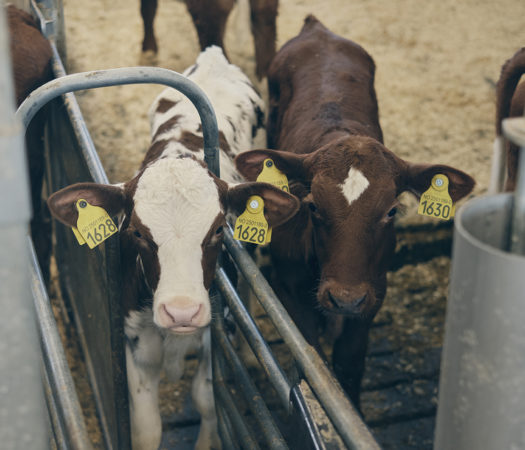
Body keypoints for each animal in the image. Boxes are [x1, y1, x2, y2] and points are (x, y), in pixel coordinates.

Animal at [48, 46, 298, 450]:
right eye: (136, 232)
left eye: (218, 229)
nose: (182, 312)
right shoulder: (135, 348)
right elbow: (147, 426)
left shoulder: (216, 339)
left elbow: (208, 403)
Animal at [235, 15, 472, 410]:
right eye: (313, 206)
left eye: (392, 211)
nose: (345, 299)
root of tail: (316, 28)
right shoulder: (289, 287)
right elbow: (313, 362)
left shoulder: (374, 289)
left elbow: (348, 360)